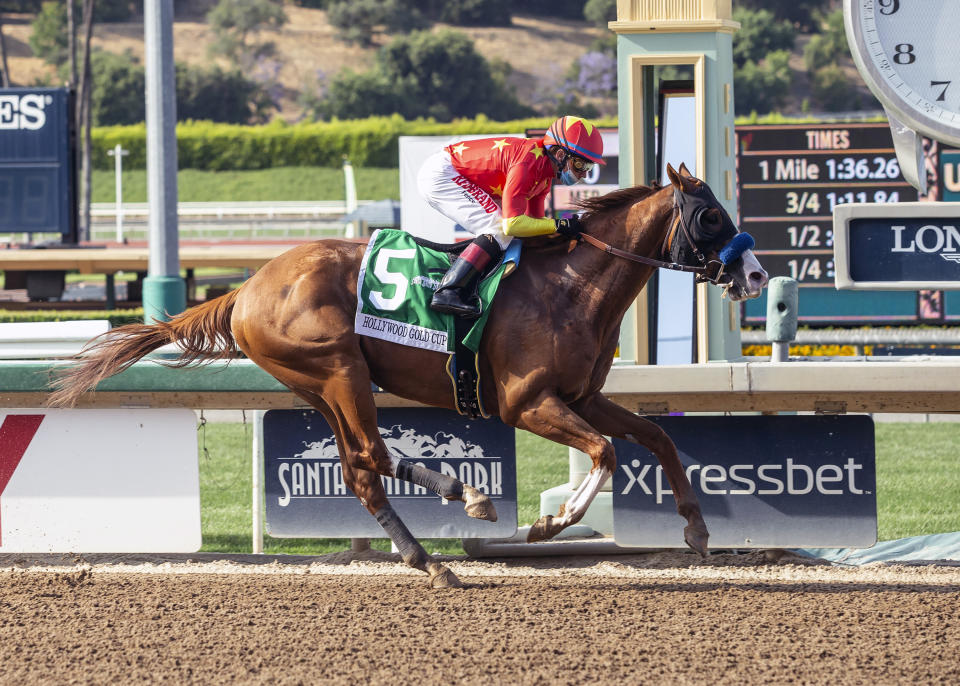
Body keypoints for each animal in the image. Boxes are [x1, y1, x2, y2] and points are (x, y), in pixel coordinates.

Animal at [52, 164, 772, 588]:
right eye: (710, 215)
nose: (757, 273)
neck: (572, 285)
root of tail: (246, 287)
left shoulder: (581, 396)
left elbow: (657, 438)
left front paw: (697, 529)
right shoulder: (527, 402)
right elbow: (606, 452)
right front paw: (551, 524)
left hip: (318, 385)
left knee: (360, 469)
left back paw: (430, 557)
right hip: (337, 367)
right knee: (372, 454)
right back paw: (464, 496)